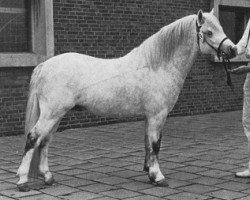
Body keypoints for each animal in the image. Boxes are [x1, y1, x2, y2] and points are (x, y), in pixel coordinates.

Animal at [16, 9, 235, 191]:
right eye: (208, 32)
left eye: (221, 28)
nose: (232, 50)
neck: (157, 66)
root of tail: (44, 65)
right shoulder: (158, 115)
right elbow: (155, 144)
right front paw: (158, 177)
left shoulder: (150, 117)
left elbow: (149, 144)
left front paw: (149, 173)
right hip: (51, 114)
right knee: (33, 138)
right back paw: (23, 181)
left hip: (56, 115)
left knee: (44, 141)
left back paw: (47, 177)